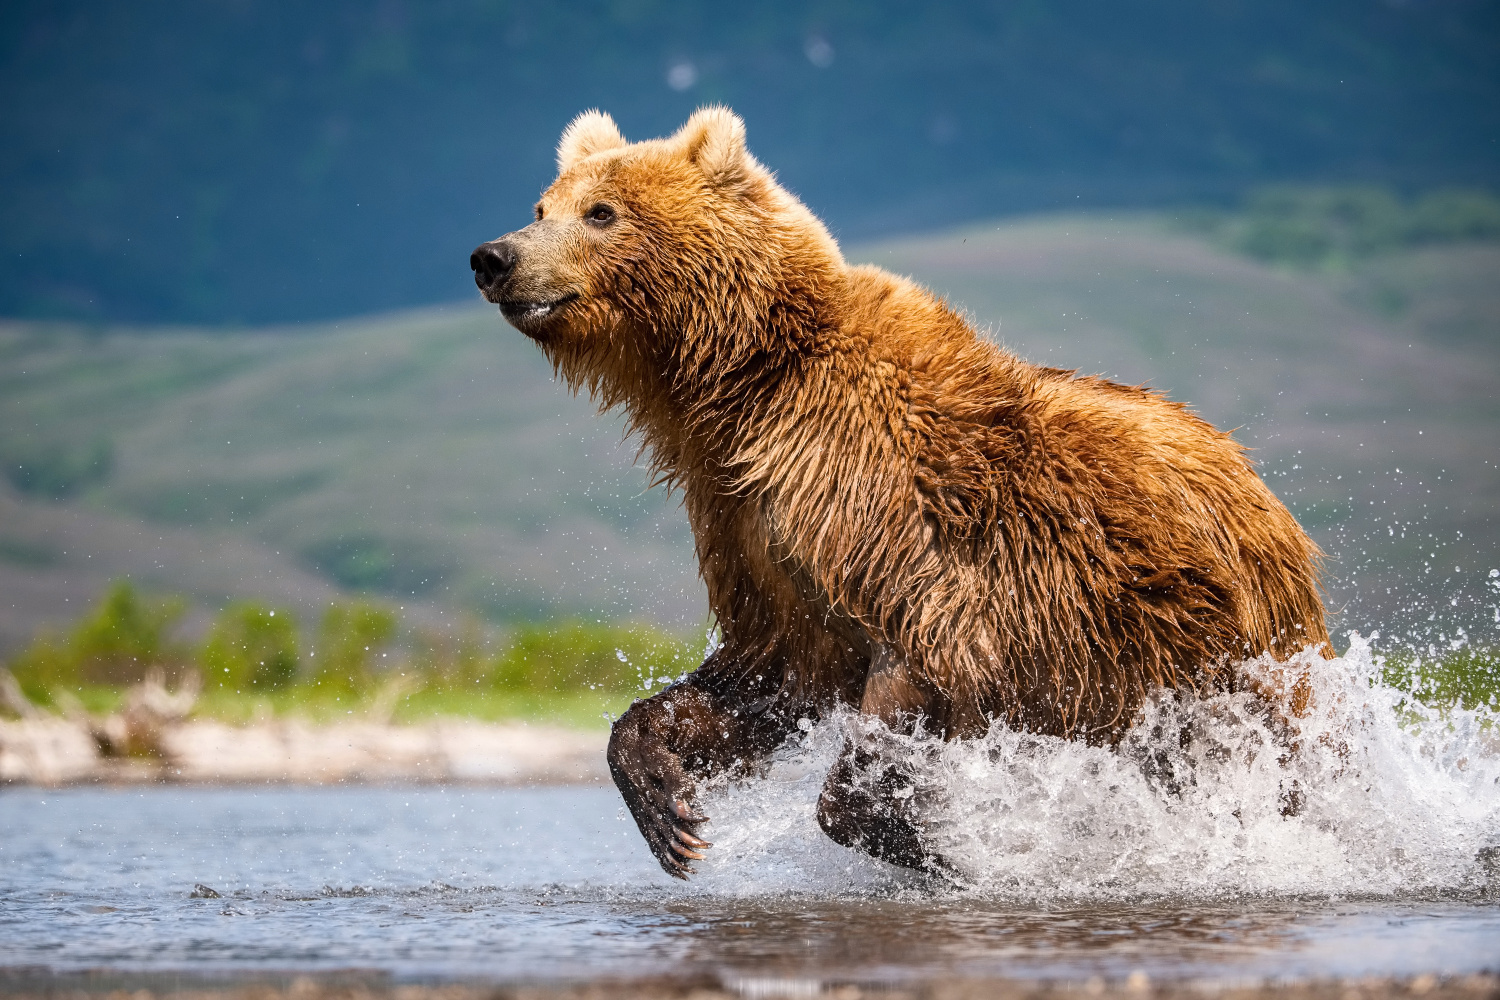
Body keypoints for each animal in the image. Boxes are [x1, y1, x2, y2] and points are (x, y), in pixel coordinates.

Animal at [468, 105, 1326, 881]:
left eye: (601, 212)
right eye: (543, 205)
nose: (493, 256)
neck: (740, 388)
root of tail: (1253, 477)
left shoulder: (893, 515)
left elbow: (926, 656)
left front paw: (942, 844)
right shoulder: (748, 524)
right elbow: (769, 674)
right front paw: (669, 808)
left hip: (1217, 641)